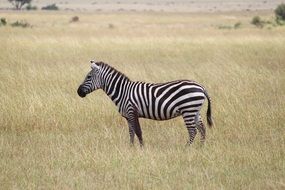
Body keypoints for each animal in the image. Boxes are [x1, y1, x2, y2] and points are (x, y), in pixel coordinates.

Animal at [76, 60, 212, 146]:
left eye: (88, 77)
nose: (78, 92)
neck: (123, 91)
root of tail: (201, 86)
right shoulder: (128, 116)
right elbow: (131, 133)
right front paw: (131, 148)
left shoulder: (132, 111)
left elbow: (138, 132)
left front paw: (141, 149)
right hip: (195, 110)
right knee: (202, 129)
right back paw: (201, 147)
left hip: (188, 110)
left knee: (193, 131)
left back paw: (186, 148)